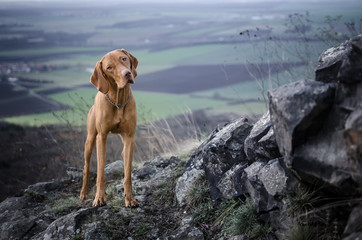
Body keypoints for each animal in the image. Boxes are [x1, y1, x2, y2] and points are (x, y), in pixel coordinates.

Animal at [80, 48, 139, 206]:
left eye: (124, 59)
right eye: (109, 68)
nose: (127, 73)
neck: (118, 101)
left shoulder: (130, 137)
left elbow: (127, 174)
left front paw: (129, 198)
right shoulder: (102, 137)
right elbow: (100, 173)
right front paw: (99, 197)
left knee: (124, 155)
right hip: (90, 140)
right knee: (86, 167)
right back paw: (83, 193)